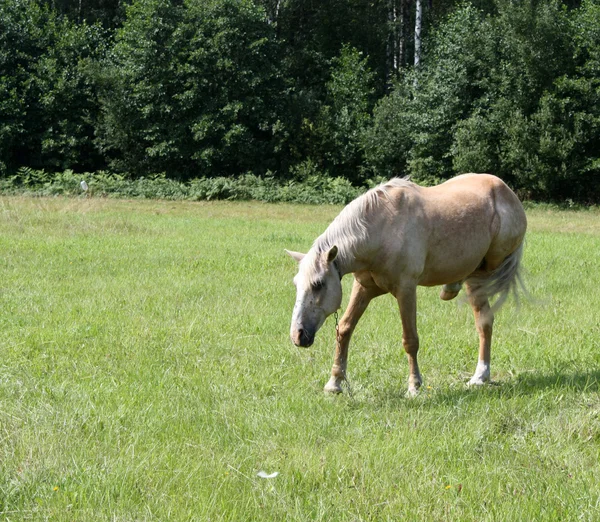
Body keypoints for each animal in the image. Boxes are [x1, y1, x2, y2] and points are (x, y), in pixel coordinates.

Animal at [286, 173, 524, 392]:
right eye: (296, 285)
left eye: (318, 284)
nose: (297, 335)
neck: (380, 230)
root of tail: (506, 191)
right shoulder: (363, 288)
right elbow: (344, 329)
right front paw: (334, 383)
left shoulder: (406, 290)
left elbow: (410, 340)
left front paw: (414, 386)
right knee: (483, 319)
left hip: (484, 272)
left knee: (484, 320)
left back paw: (480, 376)